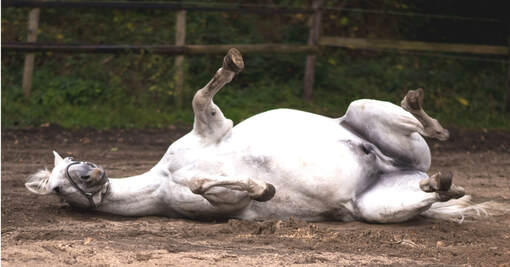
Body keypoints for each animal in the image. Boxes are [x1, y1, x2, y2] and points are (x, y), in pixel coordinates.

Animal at [25, 48, 500, 224]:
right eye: (59, 186)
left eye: (69, 163)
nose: (91, 173)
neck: (161, 181)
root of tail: (396, 167)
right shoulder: (216, 204)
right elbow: (213, 186)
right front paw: (262, 189)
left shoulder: (212, 126)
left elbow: (202, 95)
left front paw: (232, 64)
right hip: (377, 206)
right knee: (432, 189)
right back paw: (440, 183)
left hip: (364, 109)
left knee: (434, 130)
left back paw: (417, 107)